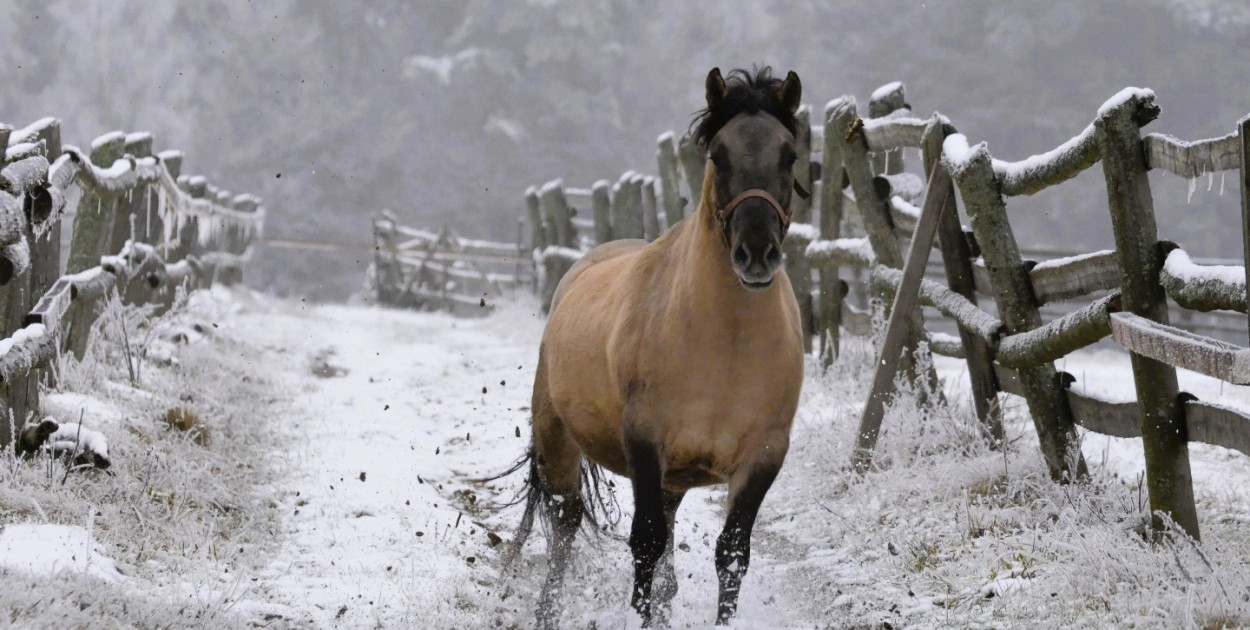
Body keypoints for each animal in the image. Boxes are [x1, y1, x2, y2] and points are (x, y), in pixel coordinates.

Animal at [510, 66, 810, 627]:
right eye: (718, 155)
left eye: (790, 155)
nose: (756, 253)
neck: (726, 346)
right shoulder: (645, 442)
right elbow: (646, 546)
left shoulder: (763, 453)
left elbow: (731, 553)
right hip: (559, 444)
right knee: (564, 526)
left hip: (674, 479)